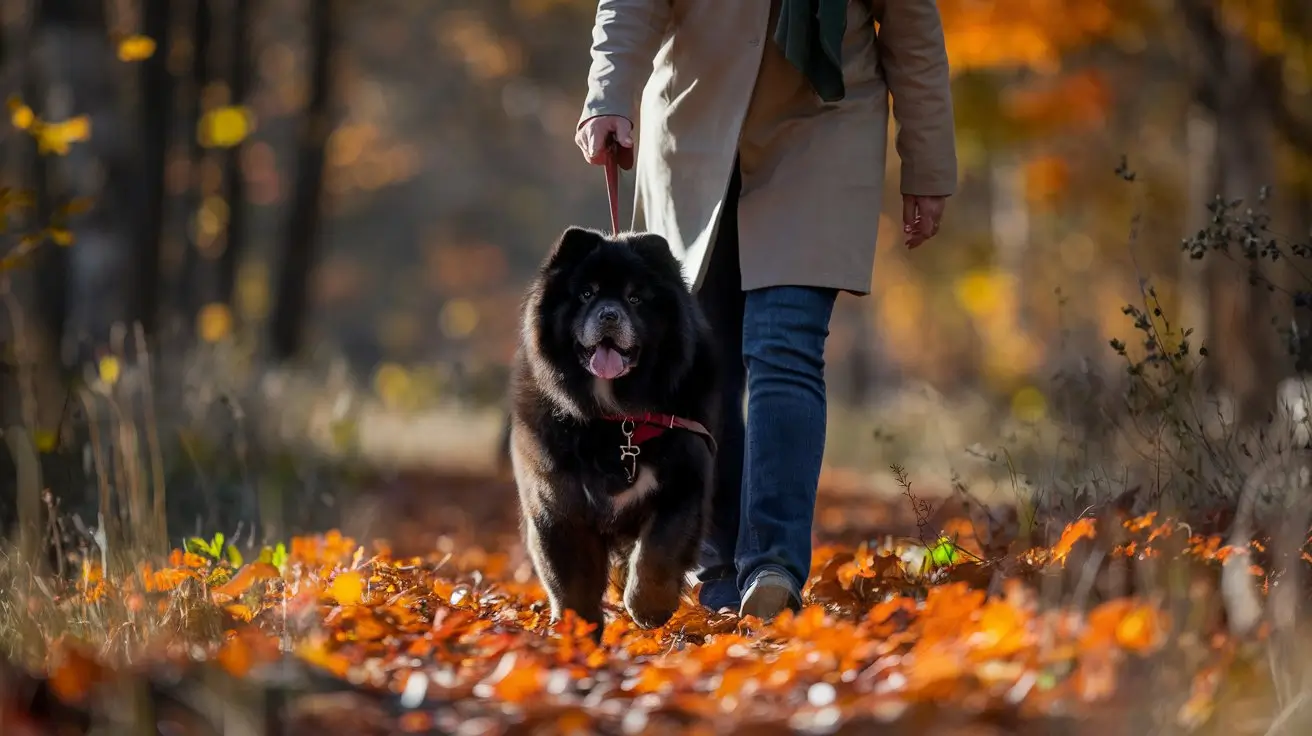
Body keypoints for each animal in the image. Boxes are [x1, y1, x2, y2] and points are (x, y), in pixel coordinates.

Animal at [509, 224, 718, 632]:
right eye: (586, 293)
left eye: (635, 298)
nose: (608, 315)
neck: (615, 419)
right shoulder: (558, 502)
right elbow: (571, 580)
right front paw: (578, 630)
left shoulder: (683, 483)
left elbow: (659, 551)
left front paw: (648, 608)